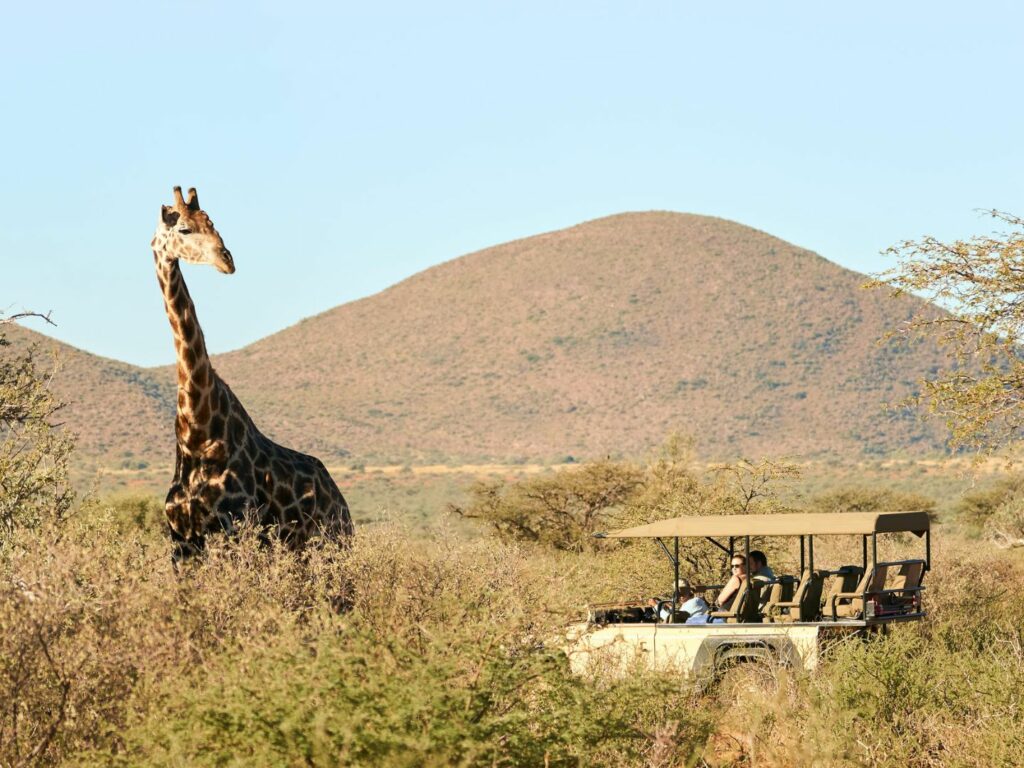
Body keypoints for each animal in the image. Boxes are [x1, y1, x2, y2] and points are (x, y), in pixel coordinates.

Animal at [152, 186, 353, 562]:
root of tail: (342, 503)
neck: (196, 432)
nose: (226, 260)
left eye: (213, 223)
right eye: (184, 228)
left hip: (332, 545)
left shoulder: (233, 531)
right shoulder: (182, 543)